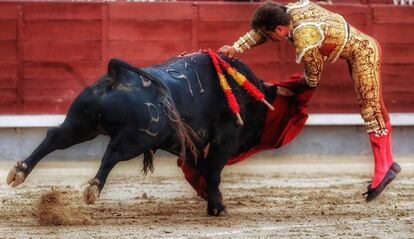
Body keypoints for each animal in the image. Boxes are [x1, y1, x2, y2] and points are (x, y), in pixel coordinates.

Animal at [5, 52, 278, 217]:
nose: (256, 138)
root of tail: (117, 76)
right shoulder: (225, 139)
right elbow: (212, 172)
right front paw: (217, 208)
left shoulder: (186, 143)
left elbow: (202, 167)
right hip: (136, 139)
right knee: (113, 153)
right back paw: (93, 188)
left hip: (82, 123)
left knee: (55, 137)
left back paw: (19, 172)